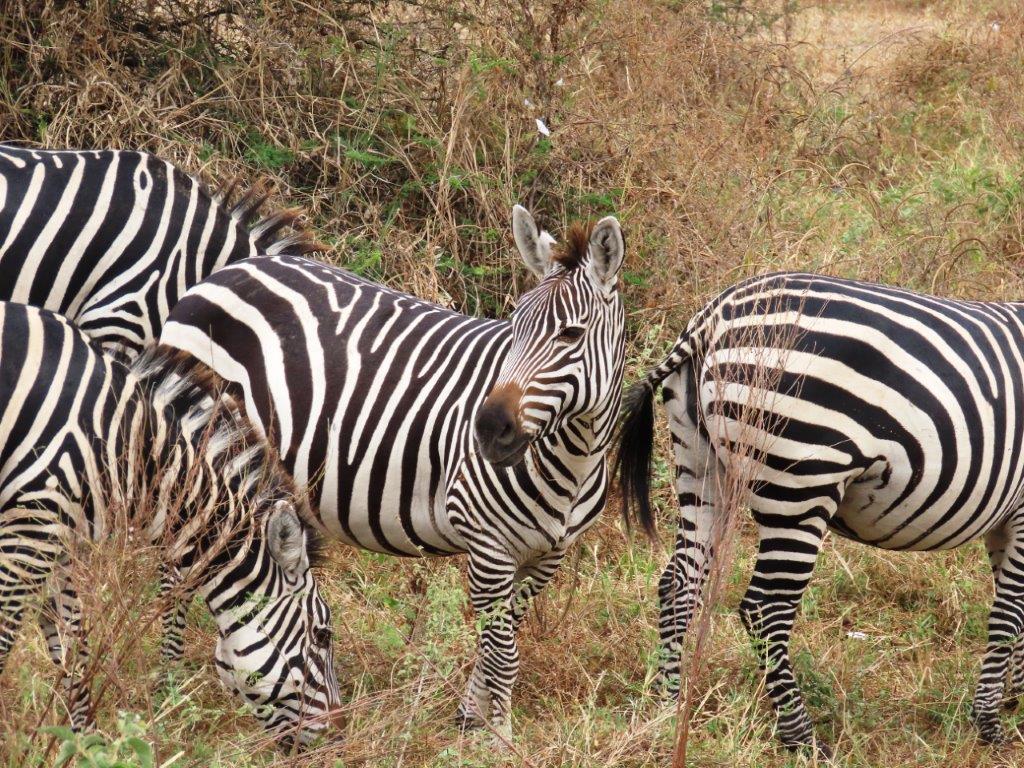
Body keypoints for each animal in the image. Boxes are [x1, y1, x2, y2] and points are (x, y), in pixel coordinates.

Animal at [0, 301, 341, 747]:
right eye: (322, 635)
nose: (338, 737)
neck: (131, 451)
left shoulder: (59, 546)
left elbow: (76, 651)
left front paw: (90, 748)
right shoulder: (28, 533)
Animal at [158, 206, 627, 737]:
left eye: (571, 334)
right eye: (514, 326)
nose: (487, 428)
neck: (573, 459)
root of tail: (225, 273)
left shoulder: (547, 556)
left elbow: (499, 645)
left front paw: (470, 723)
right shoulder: (486, 543)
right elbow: (502, 655)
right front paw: (498, 740)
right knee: (176, 574)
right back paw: (168, 689)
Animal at [615, 271, 1024, 755]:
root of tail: (712, 316)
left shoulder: (1007, 518)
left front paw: (1015, 699)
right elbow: (1009, 617)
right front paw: (991, 724)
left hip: (700, 463)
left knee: (679, 584)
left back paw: (668, 706)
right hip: (801, 478)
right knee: (765, 608)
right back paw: (802, 738)